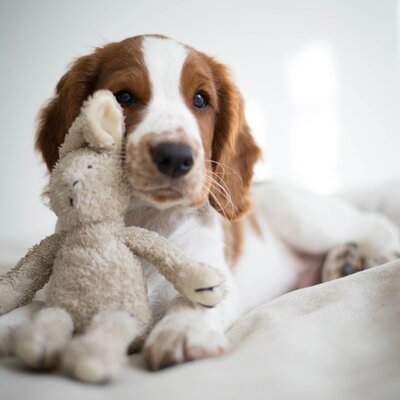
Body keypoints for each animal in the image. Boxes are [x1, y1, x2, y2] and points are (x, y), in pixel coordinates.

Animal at [3, 34, 400, 370]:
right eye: (123, 97)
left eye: (200, 99)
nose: (175, 156)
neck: (148, 219)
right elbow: (30, 312)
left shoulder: (219, 276)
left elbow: (195, 298)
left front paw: (182, 331)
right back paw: (341, 264)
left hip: (301, 215)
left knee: (372, 224)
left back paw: (377, 254)